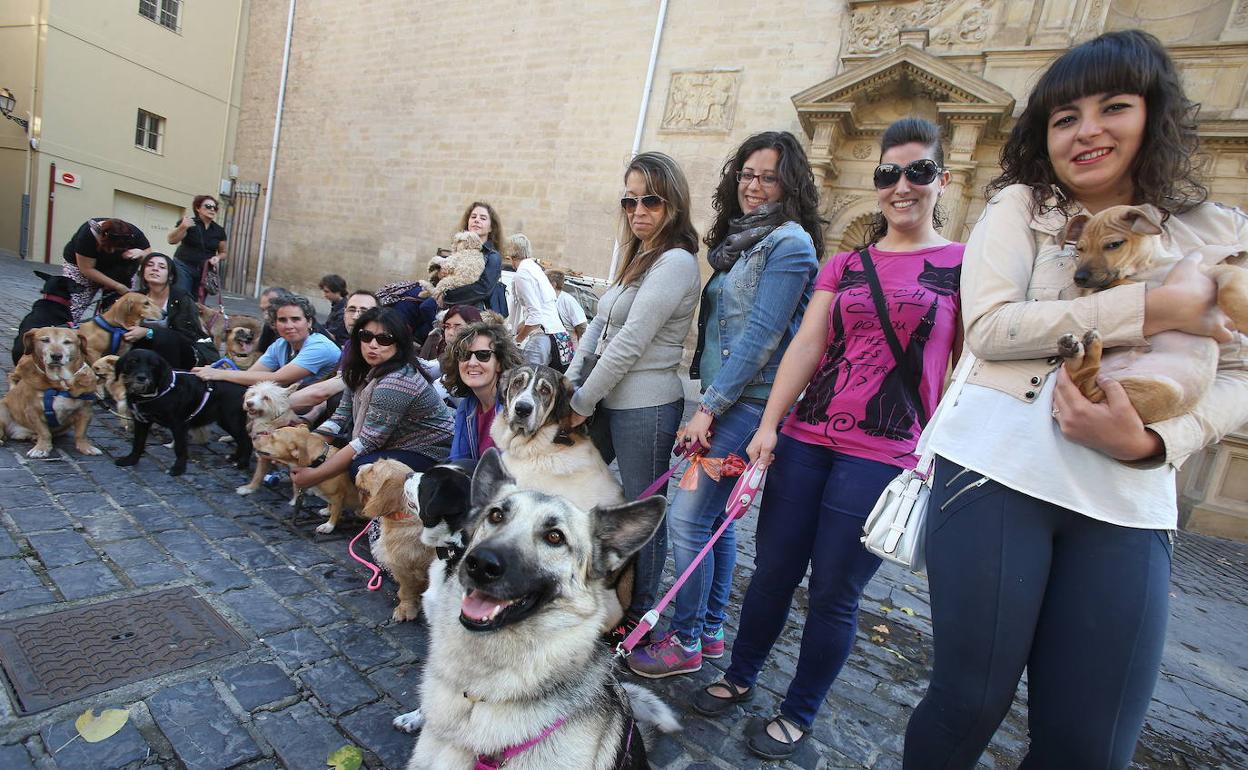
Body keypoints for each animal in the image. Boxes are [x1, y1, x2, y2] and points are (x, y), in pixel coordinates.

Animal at [0, 326, 101, 456]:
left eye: (67, 342)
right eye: (45, 340)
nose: (56, 356)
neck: (60, 383)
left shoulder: (85, 411)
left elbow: (81, 433)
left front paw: (86, 447)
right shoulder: (33, 412)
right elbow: (44, 432)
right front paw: (42, 448)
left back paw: (33, 437)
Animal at [116, 349, 252, 474]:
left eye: (153, 365)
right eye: (133, 361)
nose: (141, 378)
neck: (159, 391)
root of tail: (248, 389)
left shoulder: (179, 425)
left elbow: (180, 448)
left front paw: (178, 469)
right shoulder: (141, 422)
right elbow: (137, 443)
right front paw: (130, 461)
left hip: (232, 422)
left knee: (247, 441)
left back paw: (243, 463)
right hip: (226, 422)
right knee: (241, 441)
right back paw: (234, 458)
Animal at [1053, 202, 1248, 419]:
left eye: (1114, 245)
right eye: (1080, 248)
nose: (1079, 278)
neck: (1147, 268)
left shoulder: (1211, 272)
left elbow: (1230, 289)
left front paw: (1243, 318)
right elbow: (1118, 285)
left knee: (1083, 383)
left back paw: (1075, 349)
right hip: (1155, 389)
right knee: (1084, 385)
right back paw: (1082, 347)